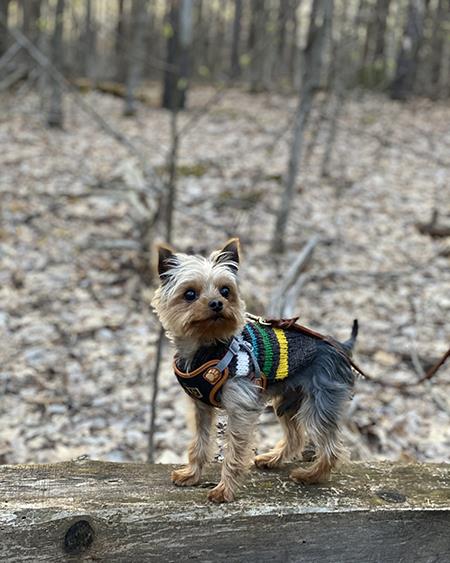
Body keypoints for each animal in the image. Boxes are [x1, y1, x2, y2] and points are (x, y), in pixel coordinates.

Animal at [153, 240, 360, 504]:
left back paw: (310, 476)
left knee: (331, 448)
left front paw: (224, 490)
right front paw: (191, 475)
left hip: (320, 401)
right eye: (190, 294)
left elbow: (233, 451)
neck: (208, 346)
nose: (217, 304)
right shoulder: (201, 407)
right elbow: (199, 443)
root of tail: (340, 346)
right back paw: (273, 460)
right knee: (296, 438)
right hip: (289, 399)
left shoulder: (241, 408)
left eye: (225, 291)